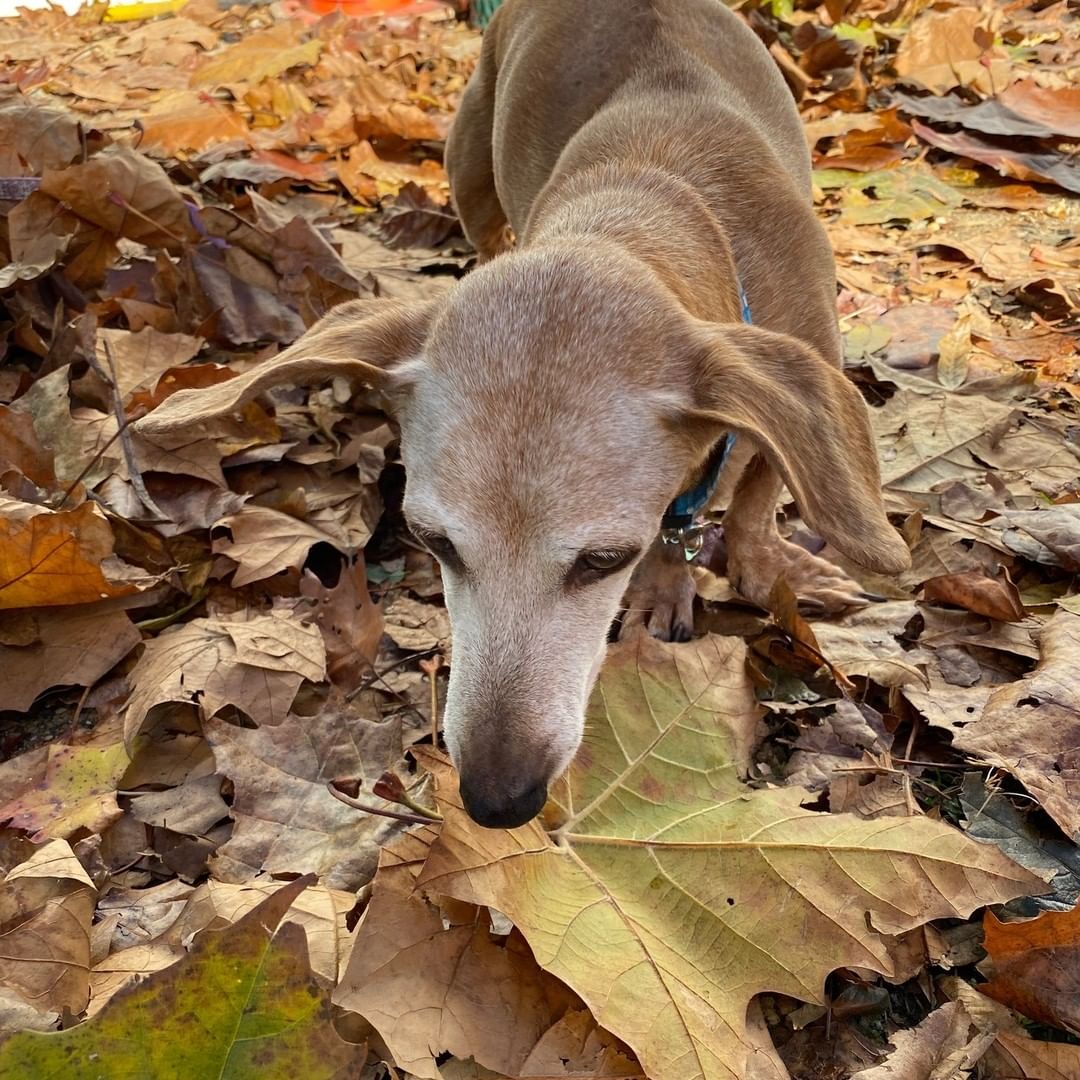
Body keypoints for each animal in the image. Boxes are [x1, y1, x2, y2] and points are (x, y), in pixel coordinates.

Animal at [139, 0, 907, 829]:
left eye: (602, 559)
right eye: (433, 541)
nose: (496, 800)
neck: (663, 209)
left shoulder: (802, 367)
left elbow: (758, 498)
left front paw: (757, 569)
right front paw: (673, 581)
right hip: (471, 170)